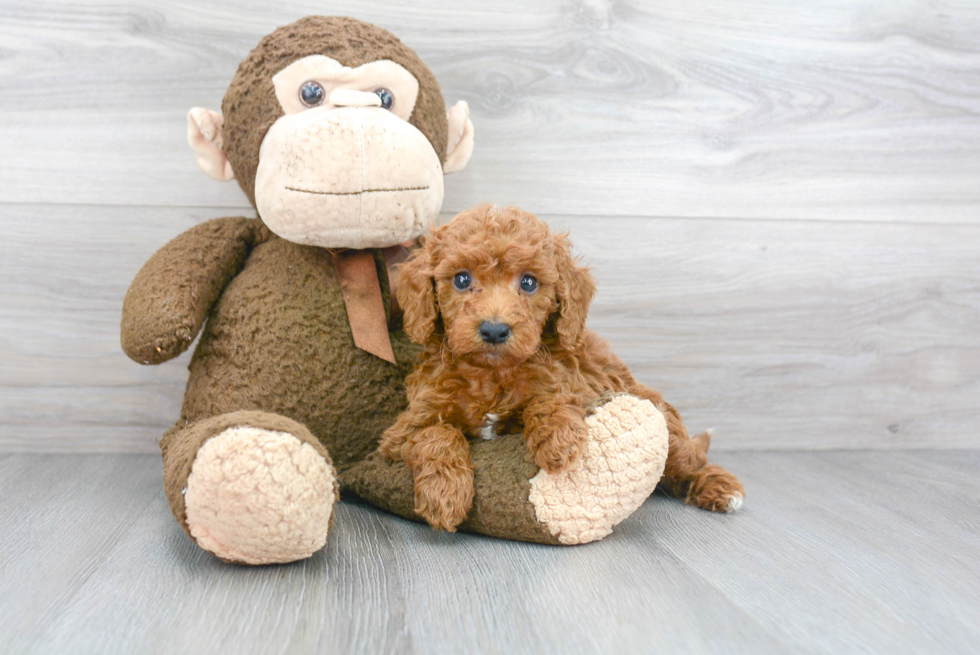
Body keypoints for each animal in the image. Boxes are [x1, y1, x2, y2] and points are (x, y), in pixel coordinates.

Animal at [378, 205, 744, 532]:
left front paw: (558, 439)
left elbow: (550, 396)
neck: (492, 374)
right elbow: (437, 434)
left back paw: (721, 488)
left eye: (528, 283)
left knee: (689, 460)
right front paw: (445, 495)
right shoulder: (403, 430)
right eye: (462, 279)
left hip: (661, 416)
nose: (495, 330)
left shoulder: (577, 384)